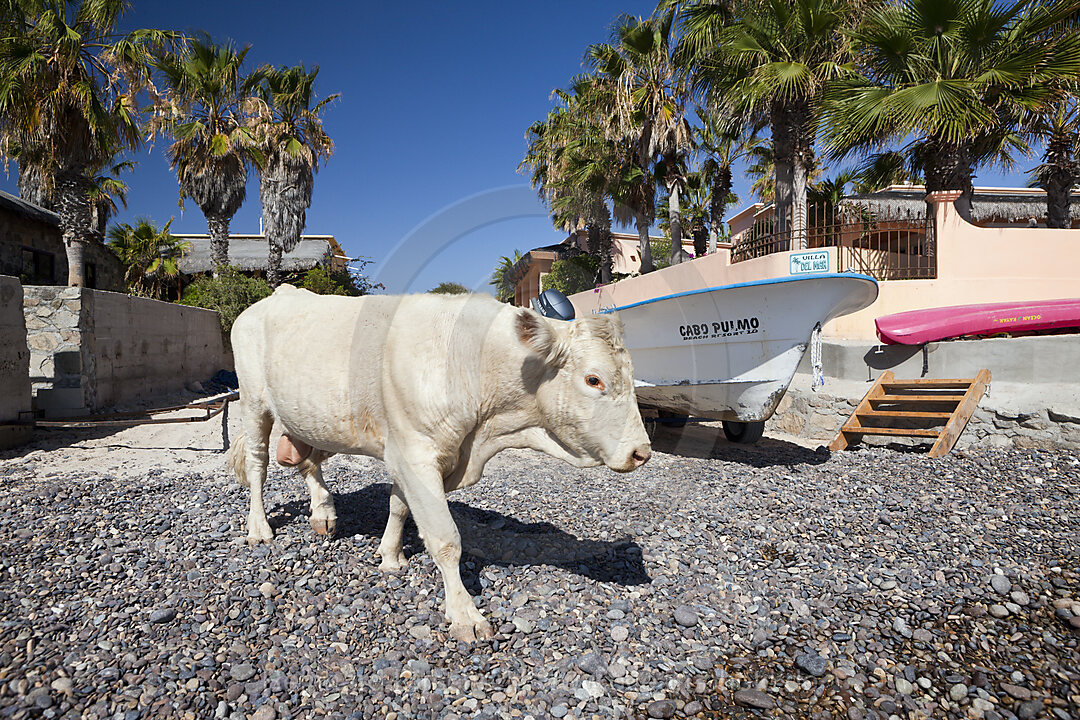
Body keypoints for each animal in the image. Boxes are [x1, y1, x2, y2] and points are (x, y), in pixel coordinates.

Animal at [227, 287, 648, 643]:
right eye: (593, 380)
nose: (641, 452)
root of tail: (275, 296)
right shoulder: (416, 453)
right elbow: (446, 538)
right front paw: (465, 615)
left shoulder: (408, 453)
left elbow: (399, 507)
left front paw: (390, 556)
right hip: (253, 402)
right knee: (258, 465)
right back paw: (259, 528)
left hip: (310, 416)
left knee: (309, 461)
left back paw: (323, 513)